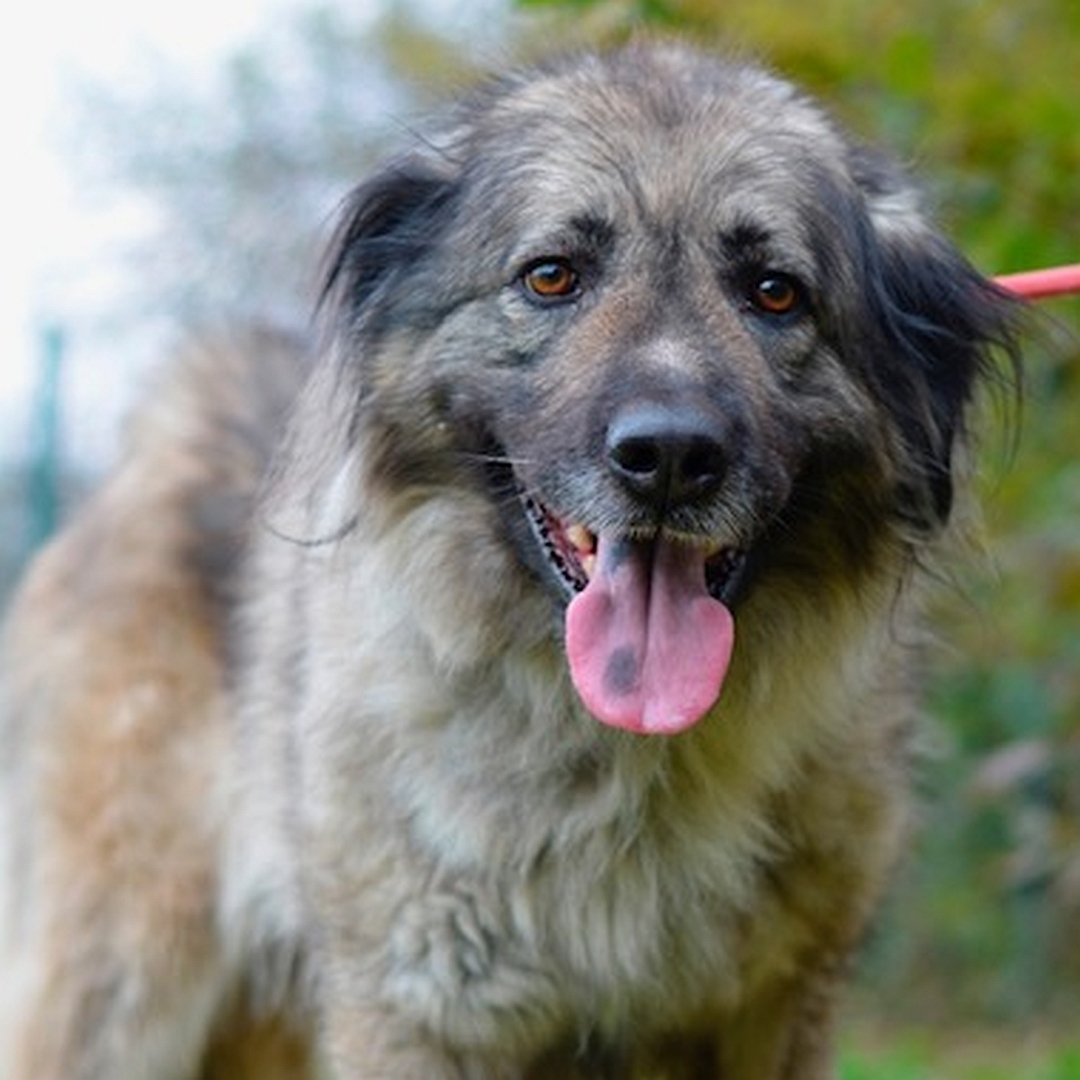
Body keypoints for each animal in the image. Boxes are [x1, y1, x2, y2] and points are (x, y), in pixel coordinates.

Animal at [0, 44, 1019, 1080]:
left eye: (775, 291)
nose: (670, 457)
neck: (620, 759)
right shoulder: (414, 1009)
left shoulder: (770, 1012)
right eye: (552, 276)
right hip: (122, 984)